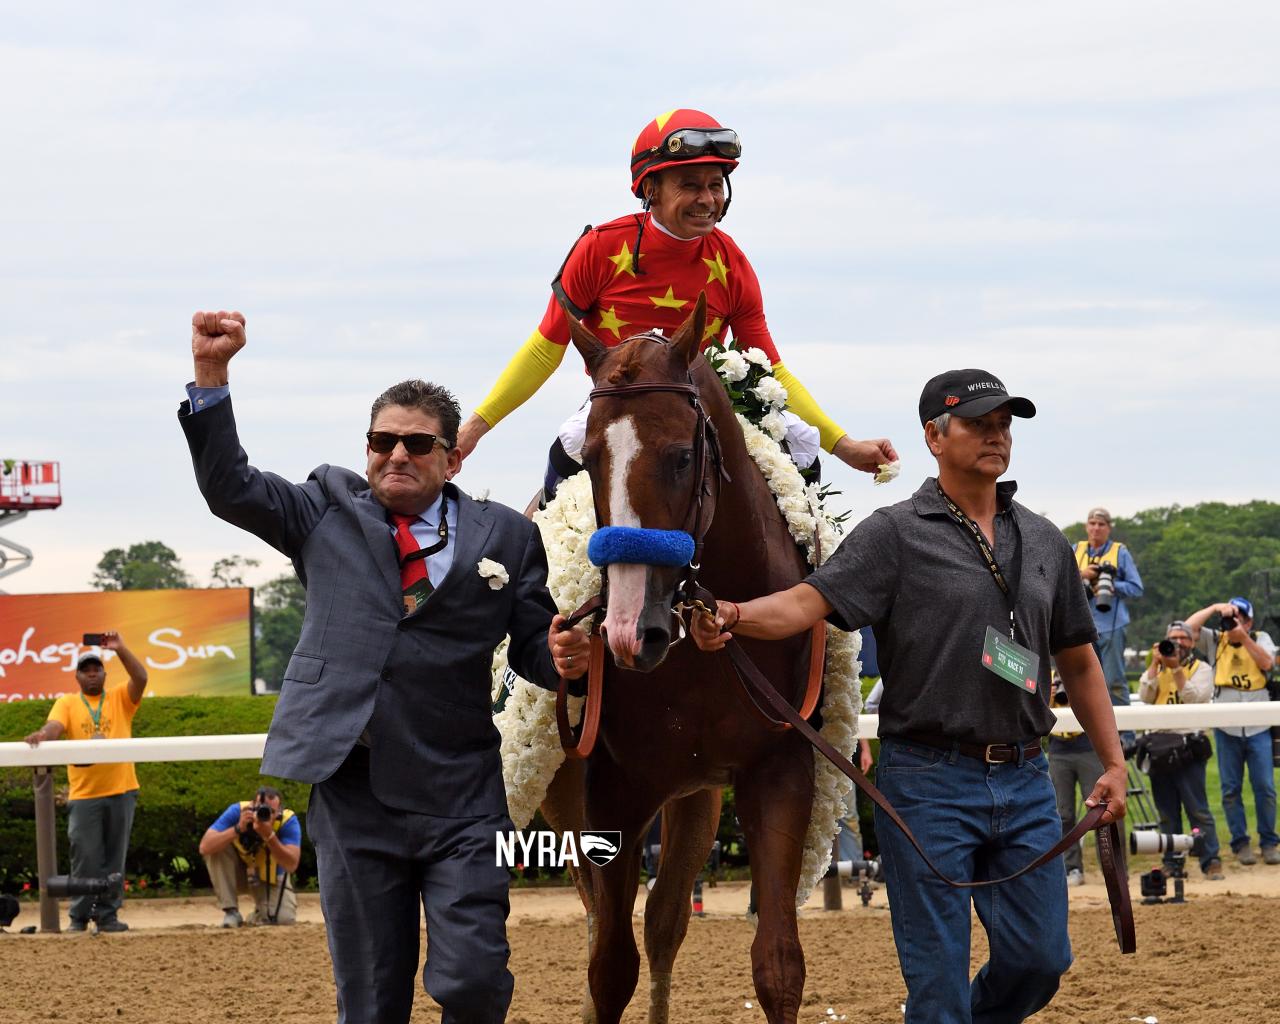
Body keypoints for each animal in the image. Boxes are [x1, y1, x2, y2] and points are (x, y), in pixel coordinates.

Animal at [537, 295, 819, 1024]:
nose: (629, 632)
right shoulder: (612, 790)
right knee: (596, 926)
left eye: (682, 455)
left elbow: (778, 964)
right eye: (591, 459)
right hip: (564, 799)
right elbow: (609, 968)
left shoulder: (777, 769)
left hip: (695, 800)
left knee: (665, 921)